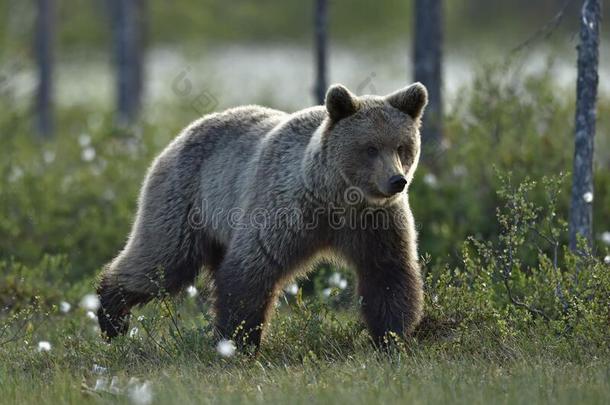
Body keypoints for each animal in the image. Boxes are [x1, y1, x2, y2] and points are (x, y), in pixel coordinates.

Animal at [97, 82, 426, 348]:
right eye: (370, 148)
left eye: (402, 146)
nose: (397, 180)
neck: (336, 198)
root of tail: (180, 135)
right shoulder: (286, 209)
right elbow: (251, 270)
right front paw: (239, 340)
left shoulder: (374, 222)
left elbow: (388, 273)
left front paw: (391, 337)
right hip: (185, 200)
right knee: (161, 260)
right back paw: (111, 317)